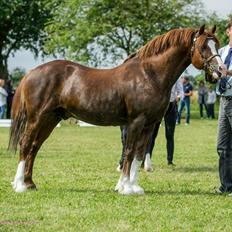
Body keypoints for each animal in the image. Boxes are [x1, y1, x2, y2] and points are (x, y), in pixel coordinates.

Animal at [9, 24, 225, 194]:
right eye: (203, 46)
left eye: (217, 45)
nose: (221, 71)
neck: (150, 75)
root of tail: (31, 73)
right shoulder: (136, 122)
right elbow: (129, 152)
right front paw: (125, 188)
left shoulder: (150, 124)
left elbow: (139, 153)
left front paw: (135, 187)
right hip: (37, 118)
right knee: (25, 144)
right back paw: (19, 185)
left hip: (51, 119)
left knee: (35, 147)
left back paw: (30, 183)